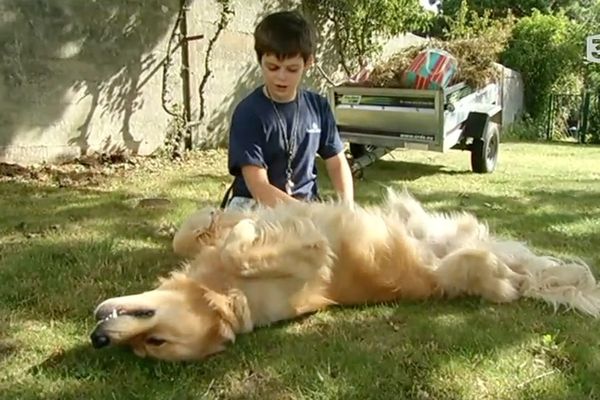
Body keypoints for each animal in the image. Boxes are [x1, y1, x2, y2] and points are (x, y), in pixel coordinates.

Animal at [89, 189, 600, 360]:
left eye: (155, 341)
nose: (98, 339)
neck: (218, 288)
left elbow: (223, 240)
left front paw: (235, 220)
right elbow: (232, 245)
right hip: (464, 261)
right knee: (513, 280)